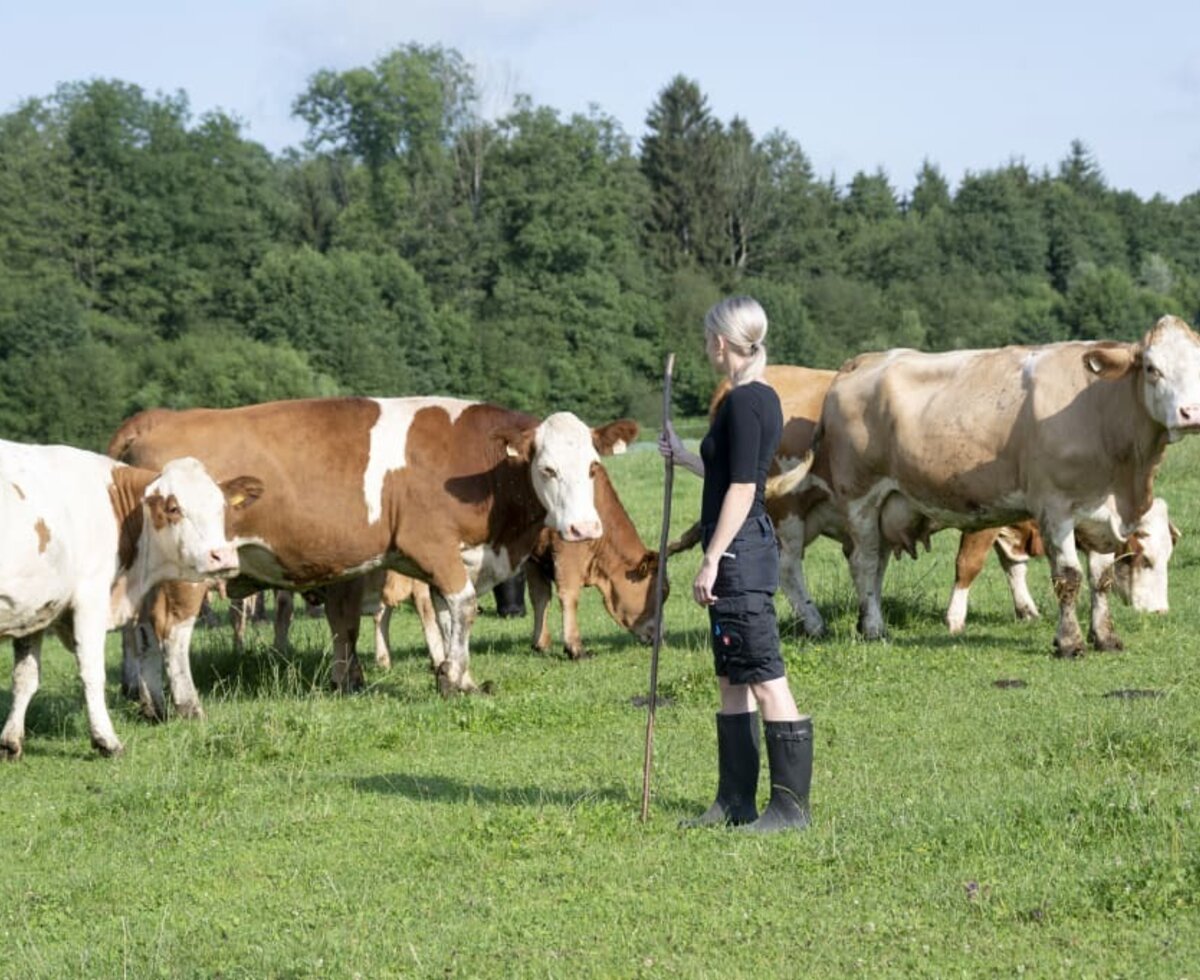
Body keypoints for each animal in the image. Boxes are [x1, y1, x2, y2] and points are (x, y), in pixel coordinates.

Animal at [0, 441, 261, 758]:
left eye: (221, 508)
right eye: (173, 508)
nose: (222, 556)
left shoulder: (36, 607)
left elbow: (25, 677)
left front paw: (10, 741)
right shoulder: (90, 599)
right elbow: (92, 673)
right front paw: (106, 740)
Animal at [109, 393, 638, 714]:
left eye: (593, 466)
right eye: (547, 469)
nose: (584, 527)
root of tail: (154, 421)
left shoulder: (446, 560)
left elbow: (444, 616)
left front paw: (457, 675)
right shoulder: (433, 547)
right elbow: (464, 609)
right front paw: (454, 678)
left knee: (142, 631)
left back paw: (151, 703)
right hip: (189, 573)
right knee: (172, 631)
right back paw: (187, 704)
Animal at [945, 496, 1180, 633]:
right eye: (1145, 560)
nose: (1160, 610)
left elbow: (1014, 567)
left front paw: (1027, 611)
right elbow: (969, 564)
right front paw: (954, 619)